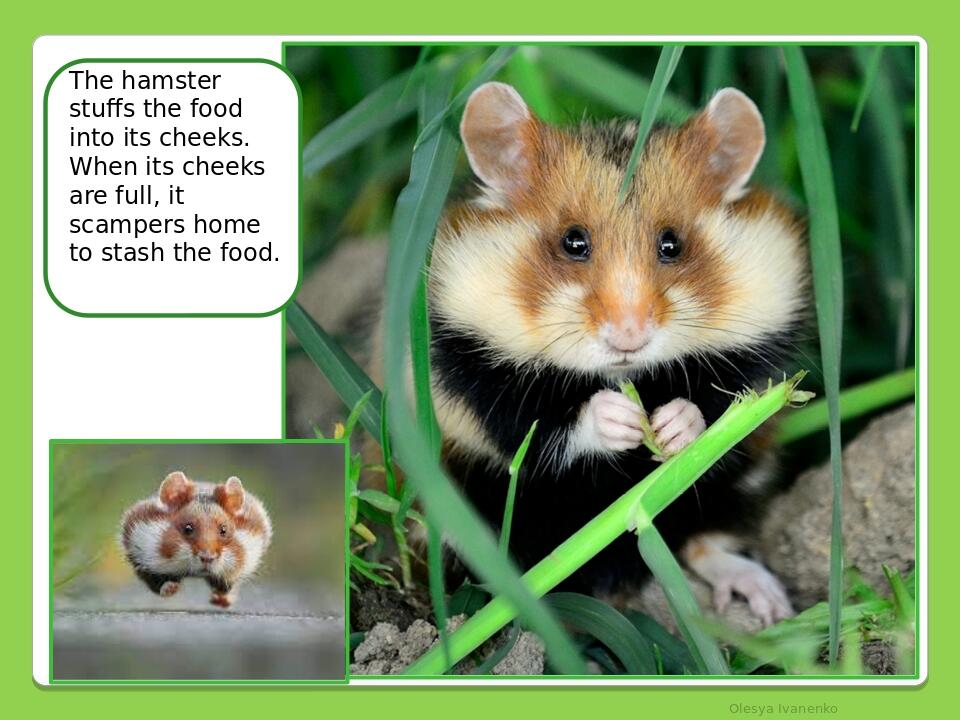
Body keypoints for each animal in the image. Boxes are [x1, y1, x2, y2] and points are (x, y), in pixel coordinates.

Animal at [120, 471, 272, 608]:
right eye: (188, 528)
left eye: (224, 530)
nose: (207, 558)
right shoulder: (141, 558)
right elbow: (158, 583)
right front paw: (172, 588)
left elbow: (228, 585)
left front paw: (219, 599)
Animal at [412, 83, 809, 625]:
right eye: (573, 242)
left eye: (672, 244)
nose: (629, 337)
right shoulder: (471, 368)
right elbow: (534, 427)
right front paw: (619, 418)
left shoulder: (758, 354)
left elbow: (722, 409)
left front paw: (671, 426)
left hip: (730, 488)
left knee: (703, 540)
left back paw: (771, 604)